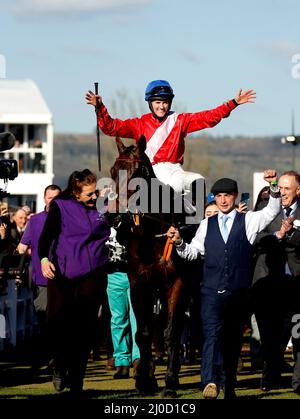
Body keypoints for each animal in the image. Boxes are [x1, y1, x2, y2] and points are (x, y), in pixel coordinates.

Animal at [108, 137, 199, 398]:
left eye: (137, 172)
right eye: (113, 171)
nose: (113, 217)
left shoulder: (178, 283)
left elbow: (172, 332)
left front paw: (169, 382)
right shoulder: (139, 282)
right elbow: (144, 332)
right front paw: (144, 380)